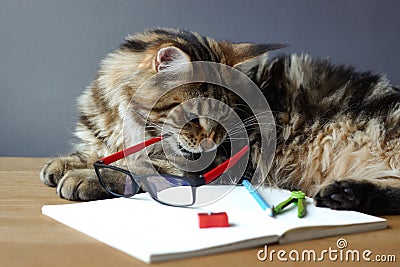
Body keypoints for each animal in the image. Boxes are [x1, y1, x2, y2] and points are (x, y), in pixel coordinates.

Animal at [39, 27, 400, 216]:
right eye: (193, 113)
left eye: (226, 115)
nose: (212, 140)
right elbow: (99, 152)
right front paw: (64, 163)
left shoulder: (215, 163)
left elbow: (138, 167)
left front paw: (85, 177)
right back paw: (344, 194)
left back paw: (343, 193)